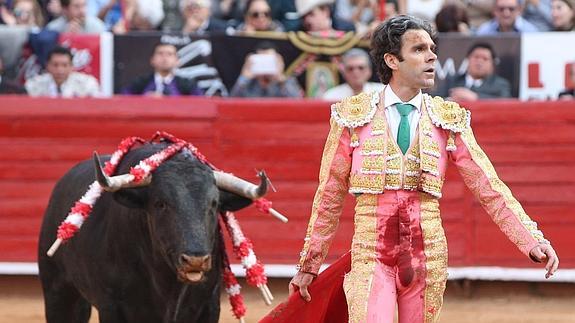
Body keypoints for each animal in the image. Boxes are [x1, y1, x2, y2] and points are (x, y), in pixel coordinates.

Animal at [38, 144, 268, 323]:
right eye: (160, 203)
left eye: (214, 204)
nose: (195, 260)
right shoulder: (111, 306)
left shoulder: (209, 307)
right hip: (57, 291)